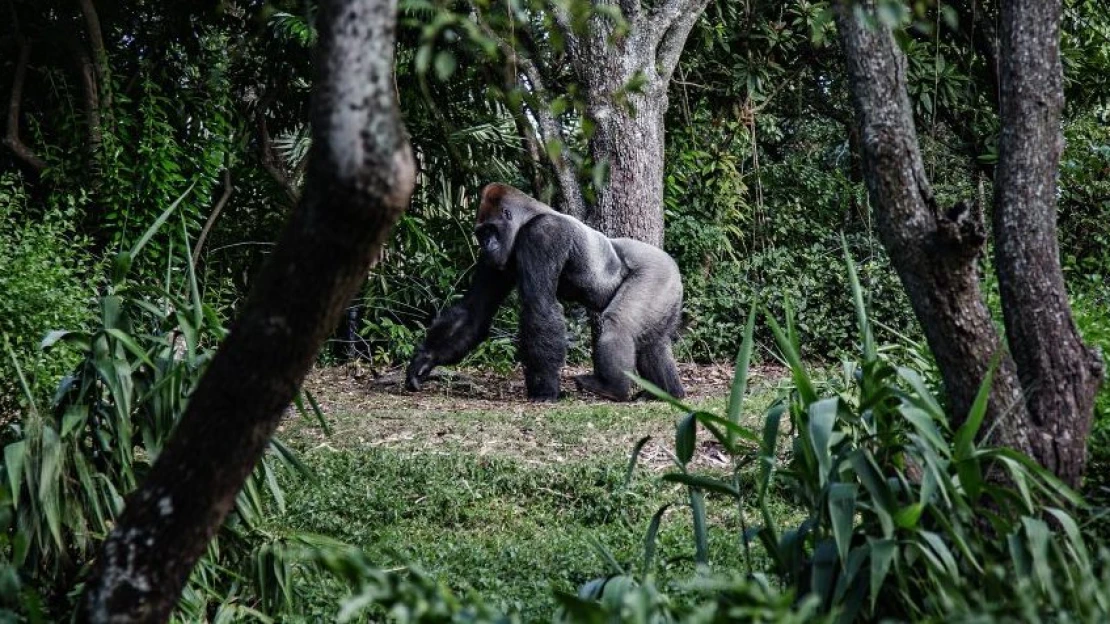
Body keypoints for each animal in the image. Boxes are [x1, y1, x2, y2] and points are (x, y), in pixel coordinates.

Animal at [406, 182, 683, 399]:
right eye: (481, 233)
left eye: (491, 230)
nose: (486, 245)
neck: (528, 217)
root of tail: (673, 266)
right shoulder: (495, 260)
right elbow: (474, 310)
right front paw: (425, 360)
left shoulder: (543, 234)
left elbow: (538, 305)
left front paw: (544, 389)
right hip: (667, 288)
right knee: (653, 342)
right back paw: (667, 392)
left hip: (656, 272)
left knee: (619, 324)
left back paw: (613, 388)